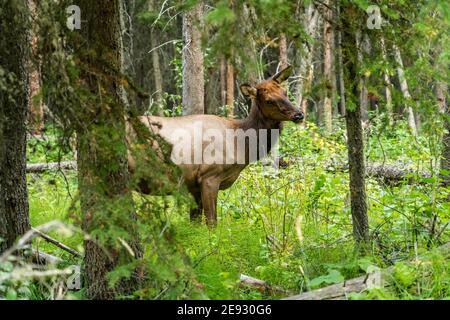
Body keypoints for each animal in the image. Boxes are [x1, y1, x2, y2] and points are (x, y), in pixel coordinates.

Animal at [127, 64, 302, 225]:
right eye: (269, 101)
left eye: (285, 93)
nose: (299, 114)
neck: (241, 144)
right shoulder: (209, 176)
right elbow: (212, 222)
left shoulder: (193, 185)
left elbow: (195, 224)